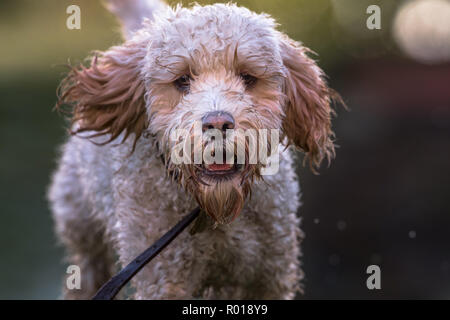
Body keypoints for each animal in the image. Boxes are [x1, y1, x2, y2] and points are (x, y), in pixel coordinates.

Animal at [48, 0, 338, 300]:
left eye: (247, 77)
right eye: (182, 80)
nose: (218, 123)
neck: (214, 213)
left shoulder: (267, 277)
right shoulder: (163, 279)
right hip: (82, 231)